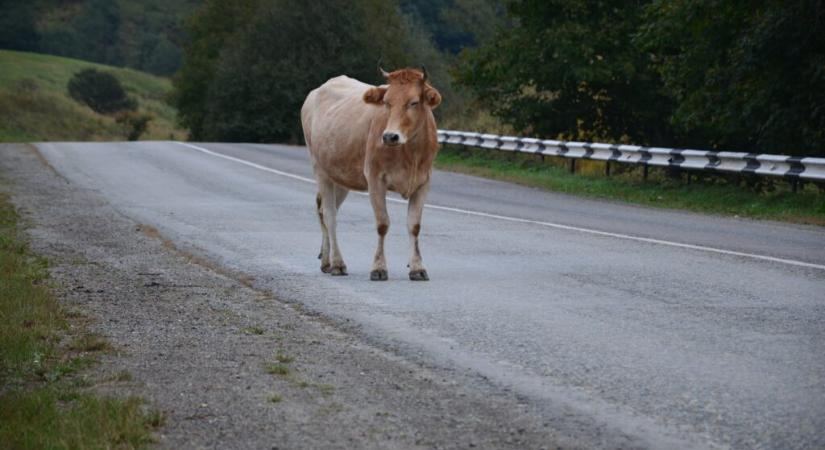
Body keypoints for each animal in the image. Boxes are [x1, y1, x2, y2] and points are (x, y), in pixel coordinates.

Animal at [300, 67, 440, 282]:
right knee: (330, 215)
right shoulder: (375, 178)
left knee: (325, 210)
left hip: (340, 176)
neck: (410, 153)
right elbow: (382, 224)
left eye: (414, 102)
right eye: (387, 102)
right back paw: (337, 263)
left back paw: (326, 261)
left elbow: (414, 226)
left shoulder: (423, 182)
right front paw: (379, 268)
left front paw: (417, 267)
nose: (390, 136)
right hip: (320, 169)